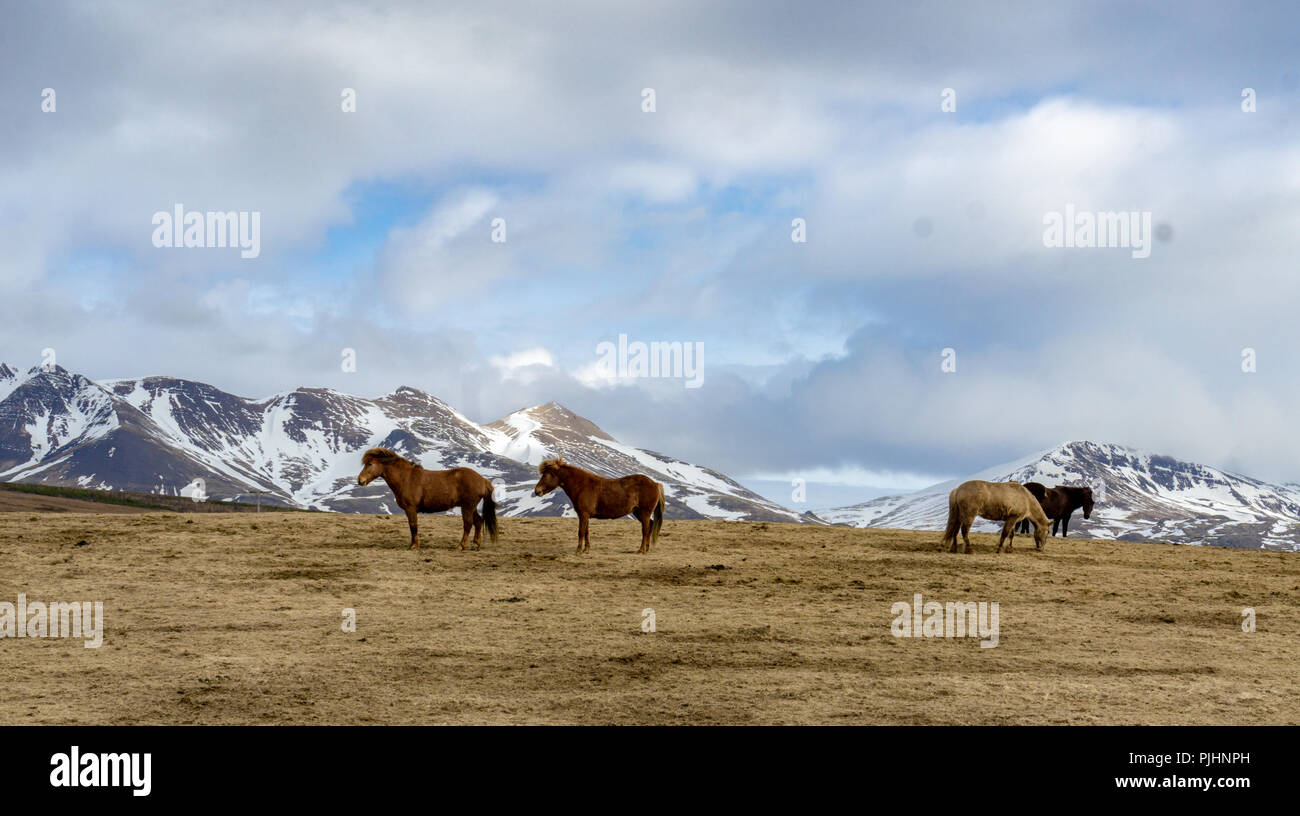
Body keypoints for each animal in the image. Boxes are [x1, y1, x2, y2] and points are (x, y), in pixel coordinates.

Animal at [357, 448, 497, 550]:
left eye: (370, 464)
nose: (360, 480)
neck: (406, 478)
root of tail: (482, 480)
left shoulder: (410, 509)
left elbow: (413, 525)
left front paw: (414, 545)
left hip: (467, 506)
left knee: (468, 524)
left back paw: (461, 546)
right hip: (471, 507)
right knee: (478, 521)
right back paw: (475, 544)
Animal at [532, 457, 664, 554]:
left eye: (545, 475)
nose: (536, 491)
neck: (582, 485)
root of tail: (655, 484)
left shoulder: (583, 515)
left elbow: (581, 531)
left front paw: (578, 551)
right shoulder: (585, 516)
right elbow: (586, 531)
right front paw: (586, 550)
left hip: (644, 512)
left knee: (645, 529)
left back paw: (641, 550)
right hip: (638, 512)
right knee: (650, 526)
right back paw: (646, 548)